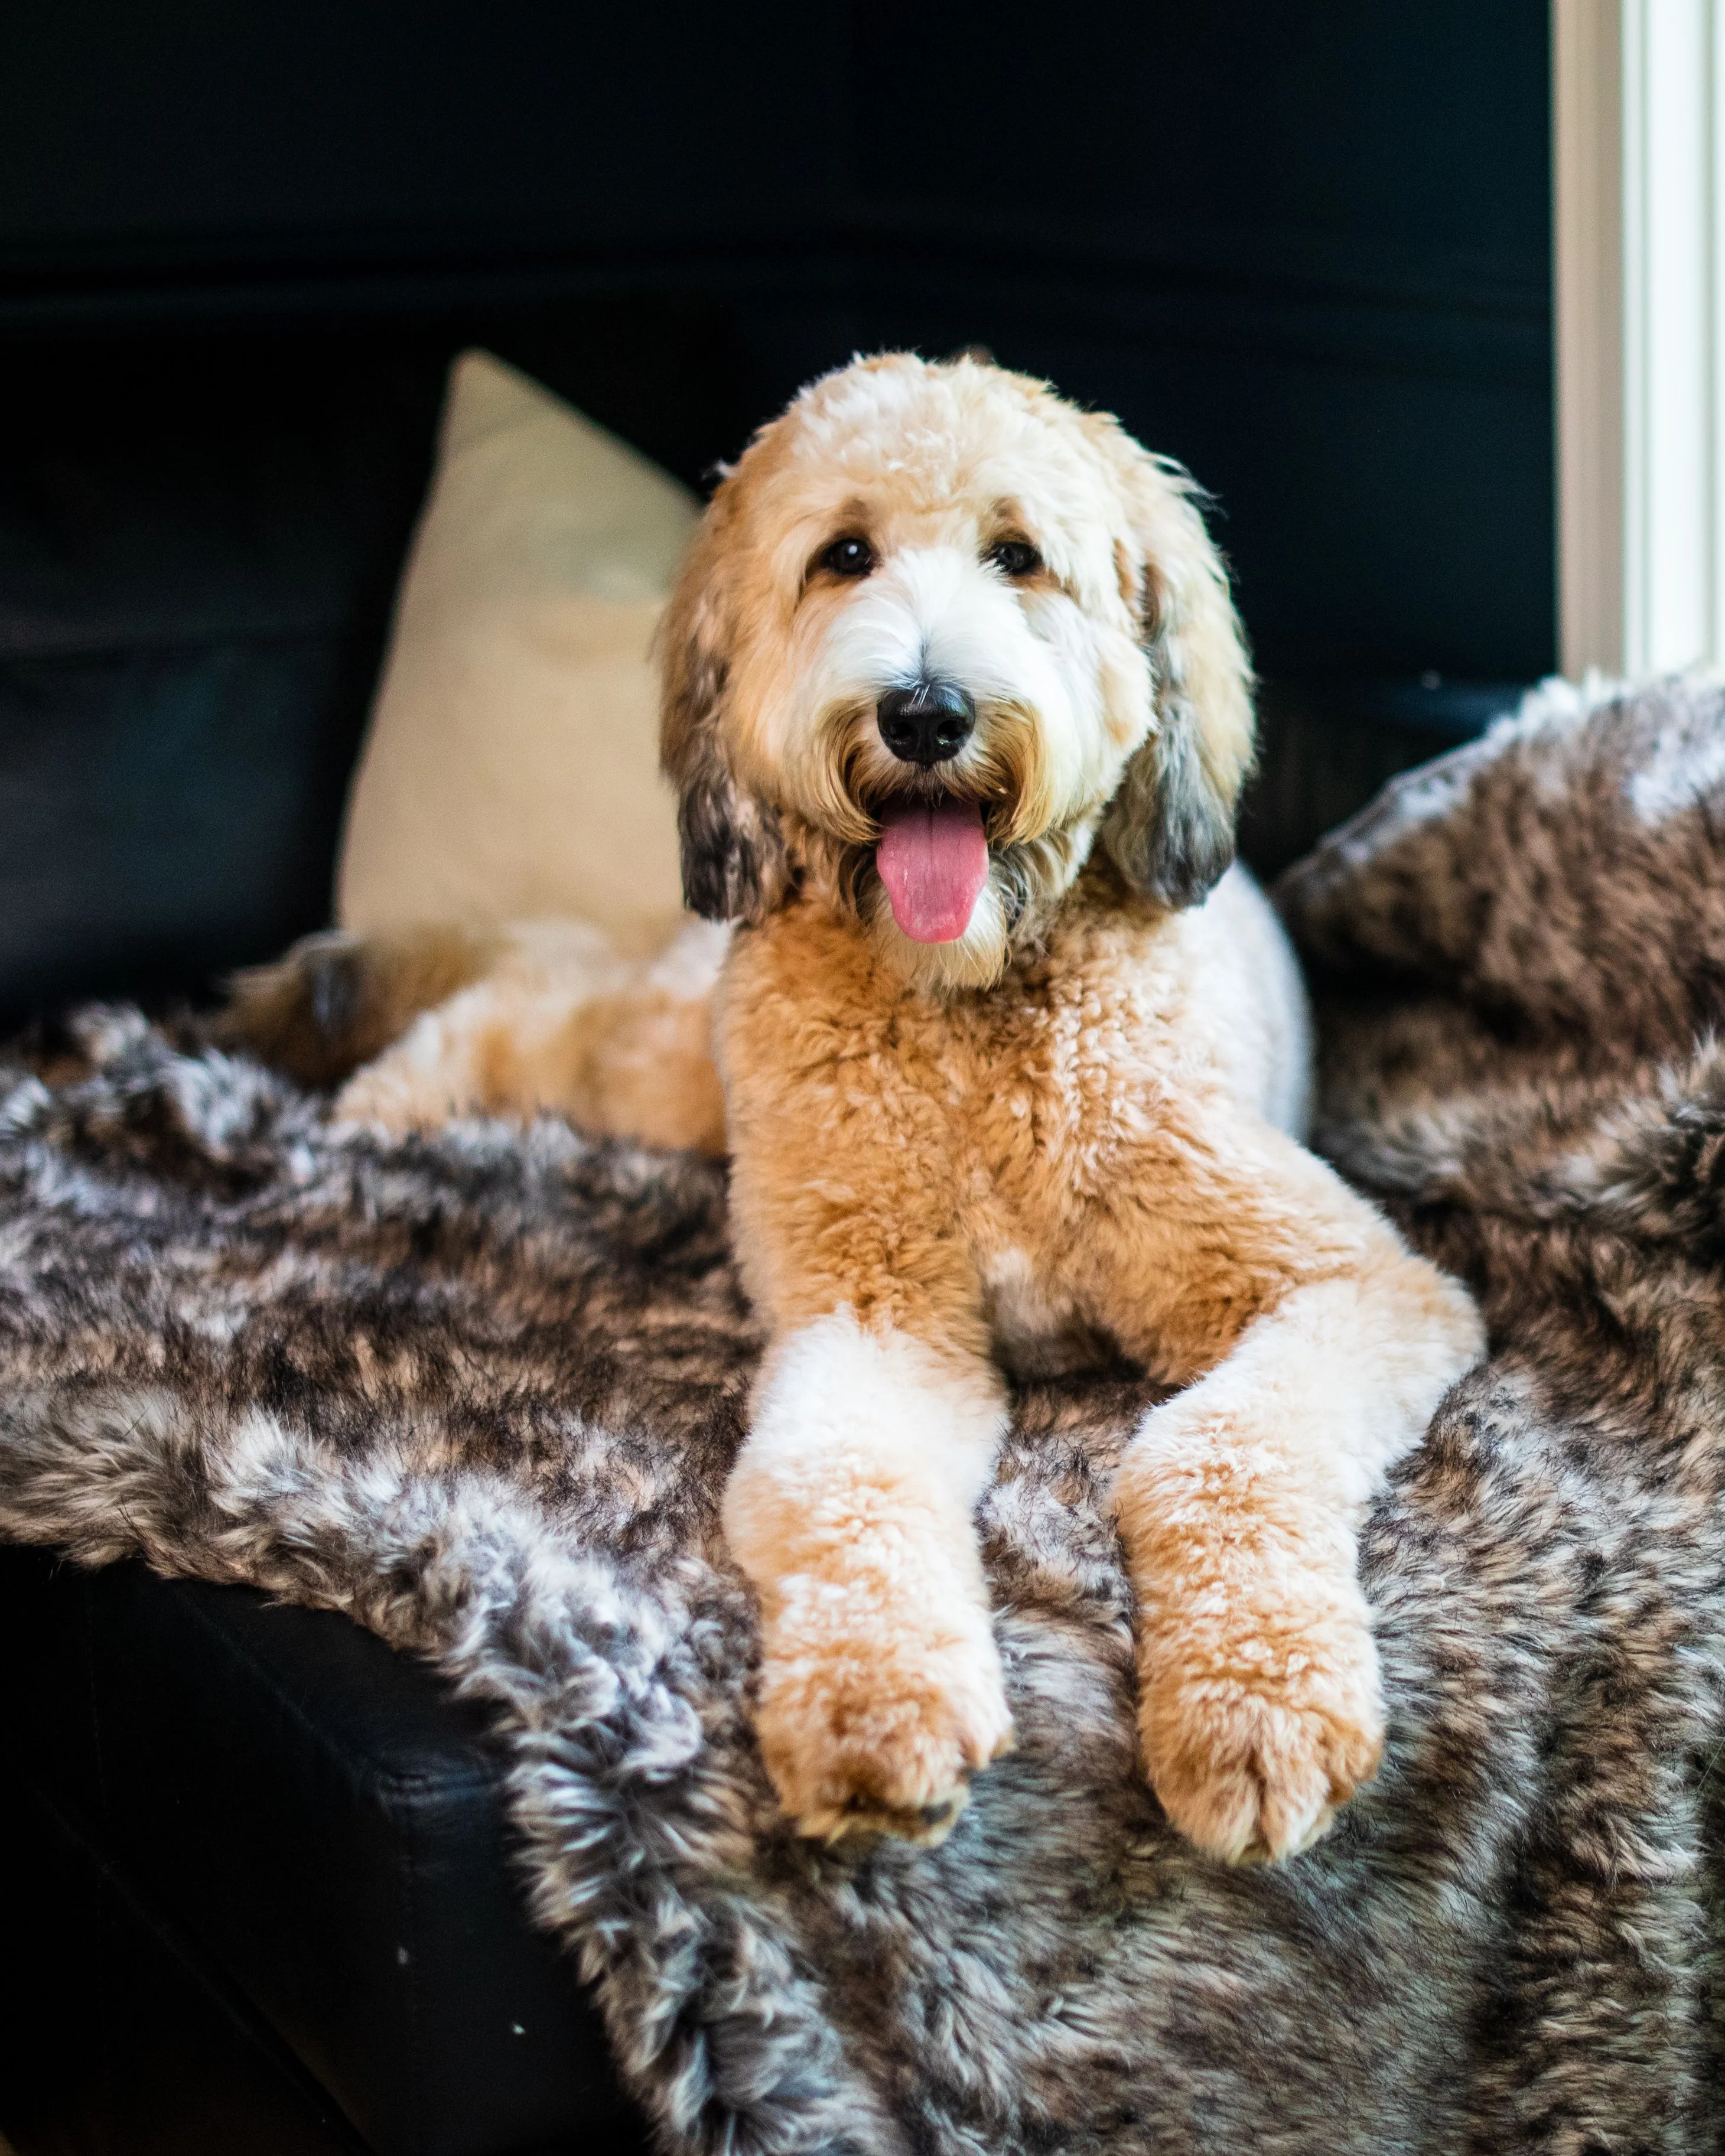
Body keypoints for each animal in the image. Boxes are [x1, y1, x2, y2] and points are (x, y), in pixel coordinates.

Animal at [236, 357, 1492, 1871]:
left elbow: (1214, 1449)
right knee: (537, 998)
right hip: (678, 1071)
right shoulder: (873, 1316)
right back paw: (391, 1092)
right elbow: (842, 1478)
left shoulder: (1354, 1281)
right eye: (843, 555)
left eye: (1019, 556)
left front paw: (1255, 1704)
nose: (925, 713)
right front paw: (875, 1705)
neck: (966, 1011)